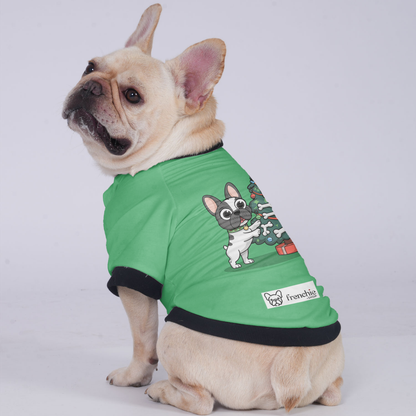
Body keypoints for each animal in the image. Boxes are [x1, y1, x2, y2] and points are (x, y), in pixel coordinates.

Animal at [62, 4, 344, 414]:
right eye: (89, 67)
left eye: (132, 96)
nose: (91, 85)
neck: (173, 148)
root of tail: (291, 367)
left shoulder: (135, 266)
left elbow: (141, 340)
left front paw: (133, 378)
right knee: (334, 390)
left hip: (176, 333)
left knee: (201, 400)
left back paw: (162, 391)